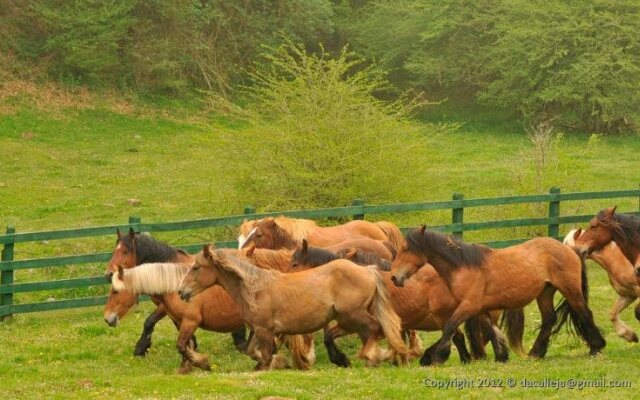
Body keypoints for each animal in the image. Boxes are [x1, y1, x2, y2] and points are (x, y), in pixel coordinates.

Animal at [178, 245, 408, 370]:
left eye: (196, 267)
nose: (181, 291)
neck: (255, 288)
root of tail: (368, 270)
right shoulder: (260, 331)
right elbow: (254, 353)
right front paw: (282, 362)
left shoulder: (264, 330)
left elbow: (265, 356)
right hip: (347, 320)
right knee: (369, 333)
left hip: (353, 315)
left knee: (375, 330)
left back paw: (374, 357)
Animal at [390, 227, 604, 364]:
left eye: (406, 248)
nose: (394, 277)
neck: (464, 266)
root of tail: (569, 249)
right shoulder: (480, 309)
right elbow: (491, 330)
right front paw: (501, 355)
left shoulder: (469, 305)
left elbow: (450, 327)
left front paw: (437, 356)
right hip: (545, 293)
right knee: (549, 319)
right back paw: (536, 353)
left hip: (570, 289)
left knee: (585, 313)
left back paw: (596, 347)